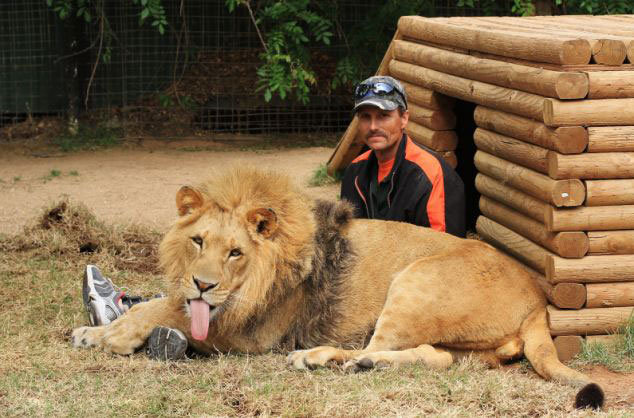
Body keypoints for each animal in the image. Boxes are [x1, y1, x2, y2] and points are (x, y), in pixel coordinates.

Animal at [73, 166, 604, 408]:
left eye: (235, 253)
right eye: (198, 240)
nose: (203, 284)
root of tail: (538, 302)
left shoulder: (250, 333)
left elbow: (163, 309)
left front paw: (111, 335)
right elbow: (159, 303)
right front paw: (95, 328)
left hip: (414, 279)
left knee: (377, 346)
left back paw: (319, 357)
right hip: (457, 338)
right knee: (437, 357)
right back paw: (363, 363)